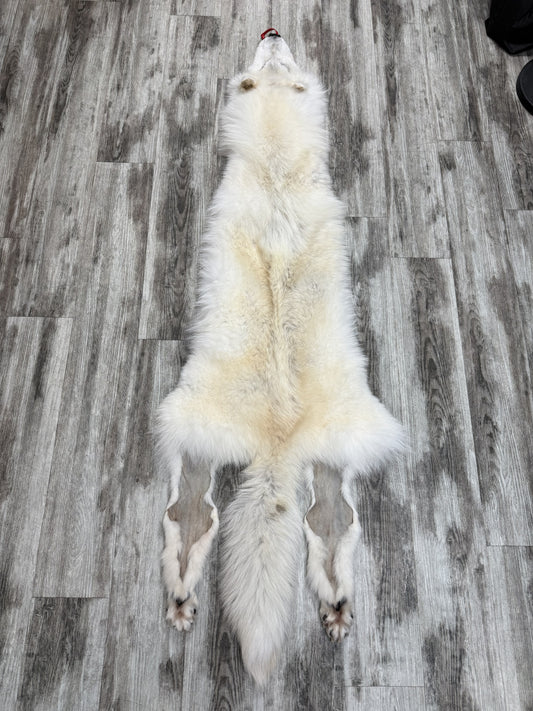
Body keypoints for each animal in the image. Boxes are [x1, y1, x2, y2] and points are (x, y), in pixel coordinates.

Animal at [157, 30, 405, 684]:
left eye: (281, 56)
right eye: (263, 57)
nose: (271, 28)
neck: (273, 168)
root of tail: (277, 440)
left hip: (323, 457)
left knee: (325, 522)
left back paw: (331, 605)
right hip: (207, 438)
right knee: (196, 513)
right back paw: (189, 597)